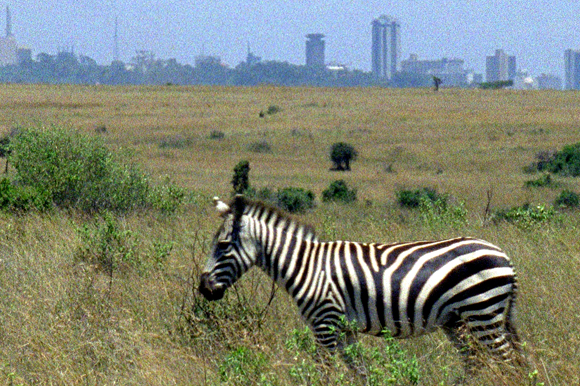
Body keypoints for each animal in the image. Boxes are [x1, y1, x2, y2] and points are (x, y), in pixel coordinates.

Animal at [199, 195, 524, 376]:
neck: (306, 266)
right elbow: (360, 371)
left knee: (507, 362)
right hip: (458, 320)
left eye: (223, 246)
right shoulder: (344, 329)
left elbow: (323, 372)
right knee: (477, 362)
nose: (204, 290)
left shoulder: (325, 322)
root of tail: (505, 257)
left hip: (482, 312)